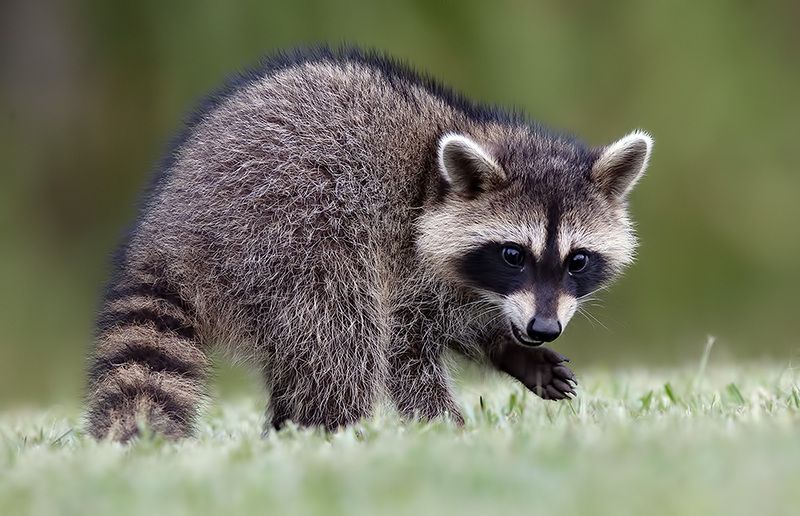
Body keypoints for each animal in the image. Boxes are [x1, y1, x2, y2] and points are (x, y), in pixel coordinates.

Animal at [86, 47, 652, 441]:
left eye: (578, 261)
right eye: (514, 255)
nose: (543, 329)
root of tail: (168, 229)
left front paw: (511, 348)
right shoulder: (407, 260)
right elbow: (403, 348)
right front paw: (446, 429)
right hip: (287, 232)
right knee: (341, 336)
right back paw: (336, 433)